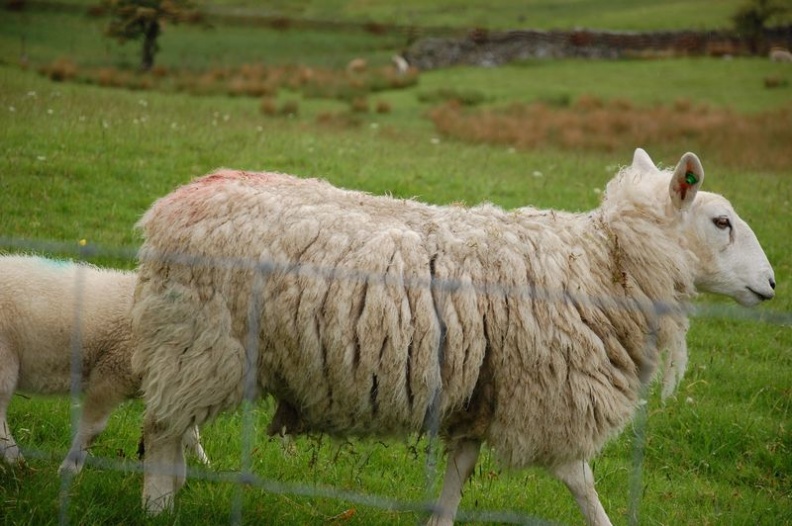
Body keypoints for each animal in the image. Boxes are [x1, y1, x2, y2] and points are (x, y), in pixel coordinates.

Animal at [0, 256, 210, 478]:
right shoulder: (111, 374)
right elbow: (92, 429)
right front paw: (70, 468)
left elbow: (190, 433)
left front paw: (204, 465)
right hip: (5, 359)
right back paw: (17, 461)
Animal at [133, 150, 776, 526]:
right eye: (721, 222)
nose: (772, 283)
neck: (606, 263)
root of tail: (171, 204)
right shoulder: (549, 396)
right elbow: (583, 484)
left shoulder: (482, 395)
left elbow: (456, 479)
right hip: (202, 342)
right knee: (162, 428)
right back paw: (158, 507)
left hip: (199, 349)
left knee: (172, 423)